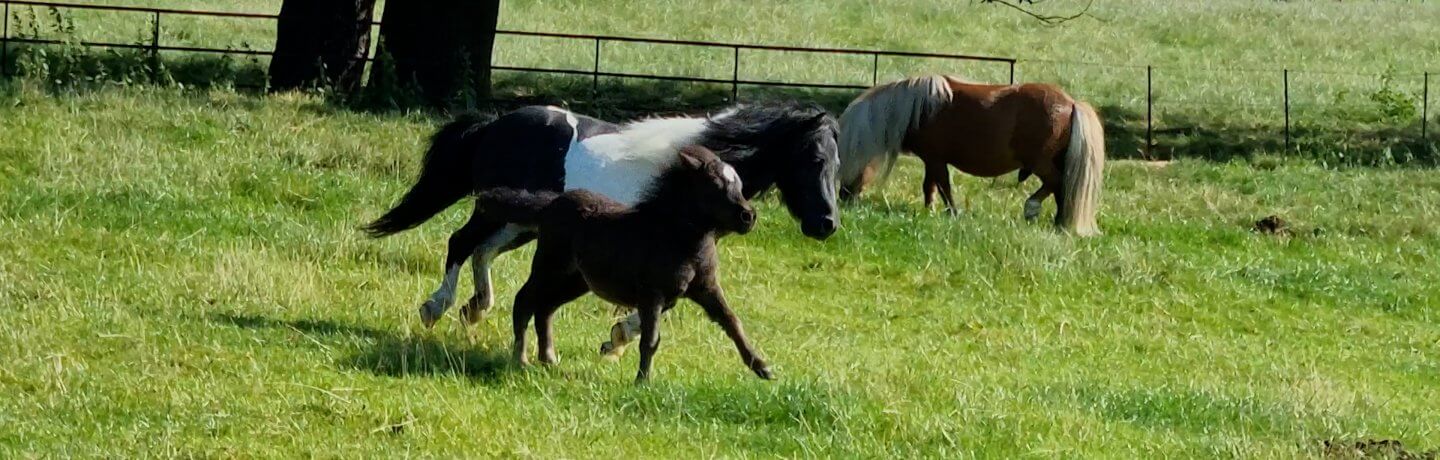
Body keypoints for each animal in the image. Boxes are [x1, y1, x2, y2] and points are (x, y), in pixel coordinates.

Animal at [362, 102, 840, 348]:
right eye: (814, 159)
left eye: (838, 165)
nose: (827, 224)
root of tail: (495, 123)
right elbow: (660, 306)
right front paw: (617, 339)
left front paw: (616, 340)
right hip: (494, 210)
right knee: (460, 243)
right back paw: (436, 308)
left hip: (522, 223)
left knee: (482, 251)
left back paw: (475, 308)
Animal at [480, 145, 777, 383]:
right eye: (715, 185)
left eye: (738, 184)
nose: (748, 217)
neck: (677, 237)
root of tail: (550, 205)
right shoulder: (652, 295)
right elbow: (650, 339)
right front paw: (642, 381)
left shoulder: (707, 289)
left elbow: (732, 322)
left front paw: (763, 368)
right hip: (549, 268)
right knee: (524, 300)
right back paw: (521, 360)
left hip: (576, 281)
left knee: (545, 308)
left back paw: (549, 359)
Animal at [835, 75, 1100, 236]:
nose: (844, 198)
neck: (919, 108)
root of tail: (1071, 103)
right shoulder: (931, 160)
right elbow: (930, 187)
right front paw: (929, 211)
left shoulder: (936, 160)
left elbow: (943, 187)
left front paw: (951, 213)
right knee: (1061, 190)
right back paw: (1060, 222)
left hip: (1040, 163)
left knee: (1056, 183)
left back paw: (1033, 209)